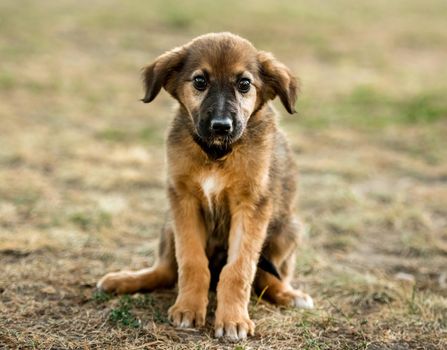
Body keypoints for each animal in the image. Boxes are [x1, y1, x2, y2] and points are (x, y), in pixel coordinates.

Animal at [98, 32, 316, 340]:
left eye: (244, 84)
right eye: (200, 81)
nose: (221, 126)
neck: (216, 154)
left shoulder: (251, 205)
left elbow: (239, 269)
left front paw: (234, 320)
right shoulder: (183, 200)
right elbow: (191, 261)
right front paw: (188, 308)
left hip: (288, 229)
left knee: (265, 278)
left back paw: (290, 294)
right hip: (169, 225)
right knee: (166, 271)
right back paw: (124, 280)